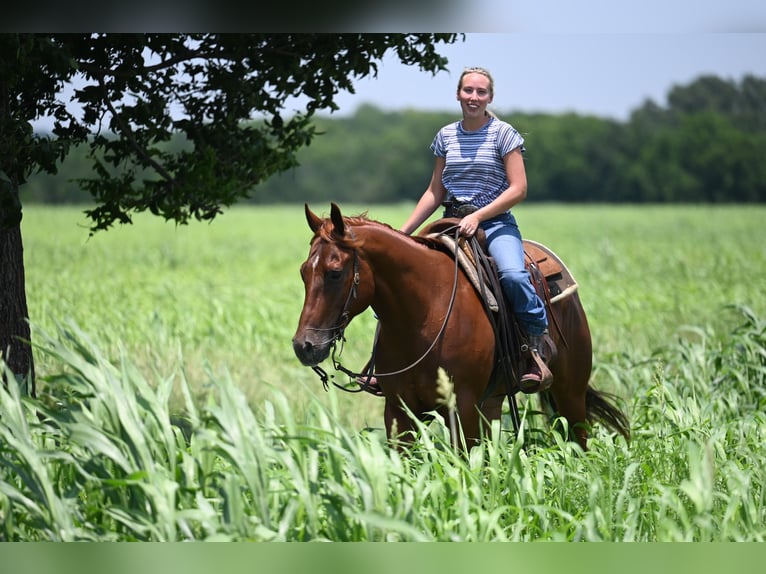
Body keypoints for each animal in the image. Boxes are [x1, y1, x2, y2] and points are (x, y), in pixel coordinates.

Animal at [292, 203, 630, 451]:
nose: (304, 346)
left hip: (570, 393)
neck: (424, 314)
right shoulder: (400, 413)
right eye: (304, 272)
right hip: (492, 402)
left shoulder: (462, 409)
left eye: (335, 272)